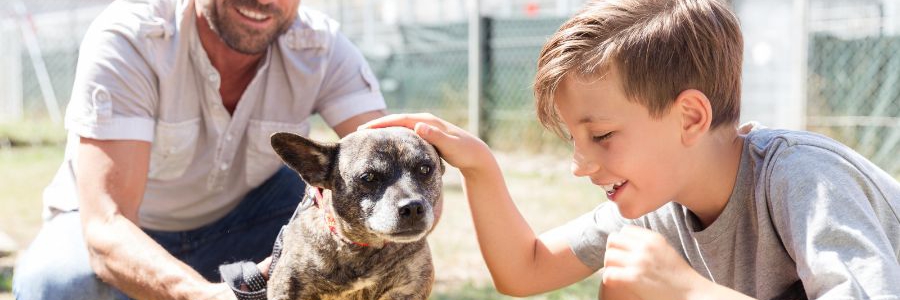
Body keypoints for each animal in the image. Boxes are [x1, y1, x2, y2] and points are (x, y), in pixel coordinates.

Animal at [266, 127, 444, 300]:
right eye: (369, 177)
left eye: (425, 169)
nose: (412, 208)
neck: (360, 247)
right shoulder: (286, 290)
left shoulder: (407, 289)